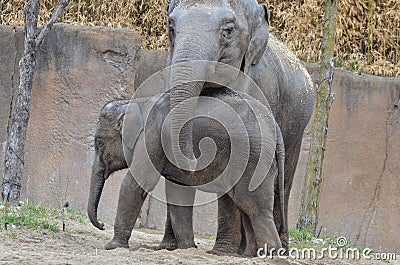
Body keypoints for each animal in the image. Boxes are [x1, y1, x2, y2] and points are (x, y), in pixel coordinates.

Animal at [88, 88, 284, 256]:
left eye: (100, 142)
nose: (102, 224)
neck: (135, 102)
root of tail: (275, 127)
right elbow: (179, 194)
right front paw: (187, 248)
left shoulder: (150, 138)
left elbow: (135, 184)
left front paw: (112, 246)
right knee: (245, 205)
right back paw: (249, 256)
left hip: (252, 159)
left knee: (253, 206)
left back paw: (270, 255)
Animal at [164, 0, 314, 250]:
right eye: (171, 28)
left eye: (227, 31)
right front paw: (168, 247)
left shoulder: (261, 86)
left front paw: (222, 251)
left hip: (297, 130)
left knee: (284, 179)